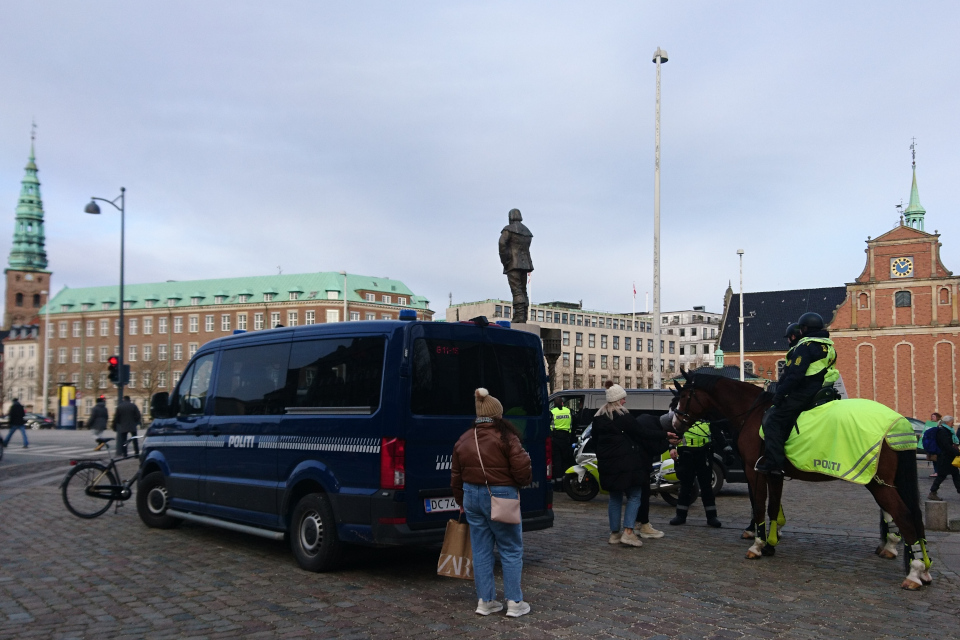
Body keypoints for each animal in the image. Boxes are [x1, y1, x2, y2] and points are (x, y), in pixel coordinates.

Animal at [672, 376, 932, 592]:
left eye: (684, 397)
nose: (674, 425)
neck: (753, 413)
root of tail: (898, 422)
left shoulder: (755, 472)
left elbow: (759, 505)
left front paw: (757, 544)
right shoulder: (773, 473)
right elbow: (773, 507)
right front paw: (770, 544)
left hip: (877, 482)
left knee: (905, 515)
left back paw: (914, 572)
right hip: (881, 481)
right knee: (905, 514)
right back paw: (916, 563)